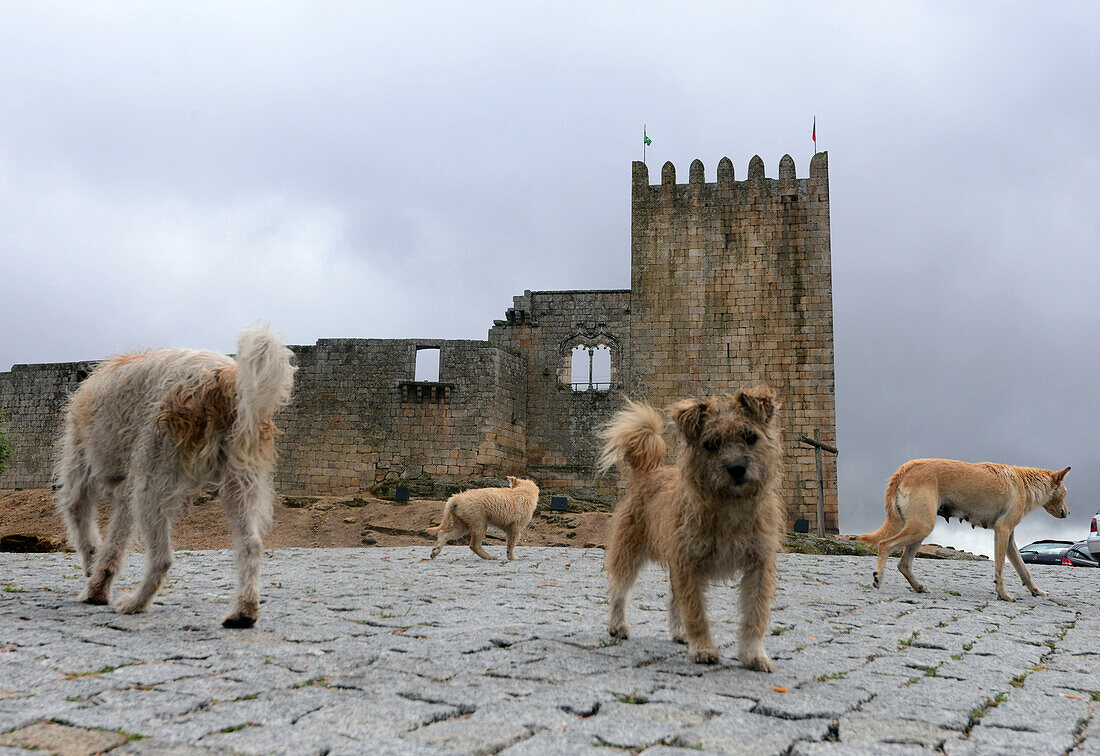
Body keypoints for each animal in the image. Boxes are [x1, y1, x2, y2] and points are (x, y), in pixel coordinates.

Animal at [54, 325, 297, 625]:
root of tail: (225, 378)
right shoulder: (126, 495)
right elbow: (113, 547)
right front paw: (99, 586)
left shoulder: (81, 474)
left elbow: (87, 534)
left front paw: (93, 585)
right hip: (239, 486)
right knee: (251, 546)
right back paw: (243, 612)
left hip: (151, 487)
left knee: (162, 559)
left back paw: (135, 603)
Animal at [598, 387, 787, 673]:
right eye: (712, 443)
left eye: (750, 437)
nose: (737, 469)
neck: (729, 504)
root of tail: (646, 472)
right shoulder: (689, 564)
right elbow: (696, 611)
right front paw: (704, 649)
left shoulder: (759, 566)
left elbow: (755, 615)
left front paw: (753, 654)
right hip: (629, 551)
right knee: (619, 590)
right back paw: (617, 626)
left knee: (673, 600)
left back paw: (680, 633)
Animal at [862, 455, 1069, 603]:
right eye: (1065, 493)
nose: (1068, 513)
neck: (1024, 483)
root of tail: (904, 469)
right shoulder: (1002, 530)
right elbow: (1000, 569)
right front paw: (1003, 594)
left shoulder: (1009, 538)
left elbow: (1023, 570)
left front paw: (1037, 591)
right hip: (921, 526)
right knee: (885, 544)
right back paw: (878, 578)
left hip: (919, 529)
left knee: (903, 563)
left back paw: (919, 587)